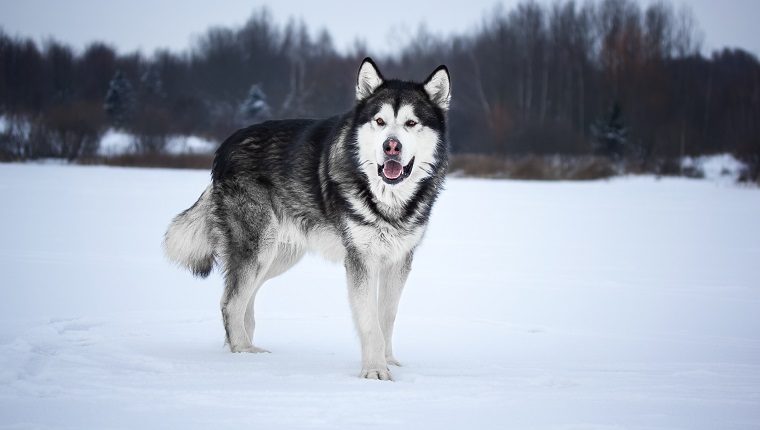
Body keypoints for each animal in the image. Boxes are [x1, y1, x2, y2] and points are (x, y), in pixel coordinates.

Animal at [163, 58, 448, 380]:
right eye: (379, 121)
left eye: (411, 123)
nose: (391, 146)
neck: (388, 199)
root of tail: (223, 148)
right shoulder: (361, 260)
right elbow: (370, 323)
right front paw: (375, 370)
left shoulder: (399, 261)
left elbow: (386, 317)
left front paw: (389, 361)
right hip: (258, 249)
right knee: (230, 302)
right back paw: (243, 355)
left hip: (277, 256)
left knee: (242, 301)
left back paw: (244, 348)